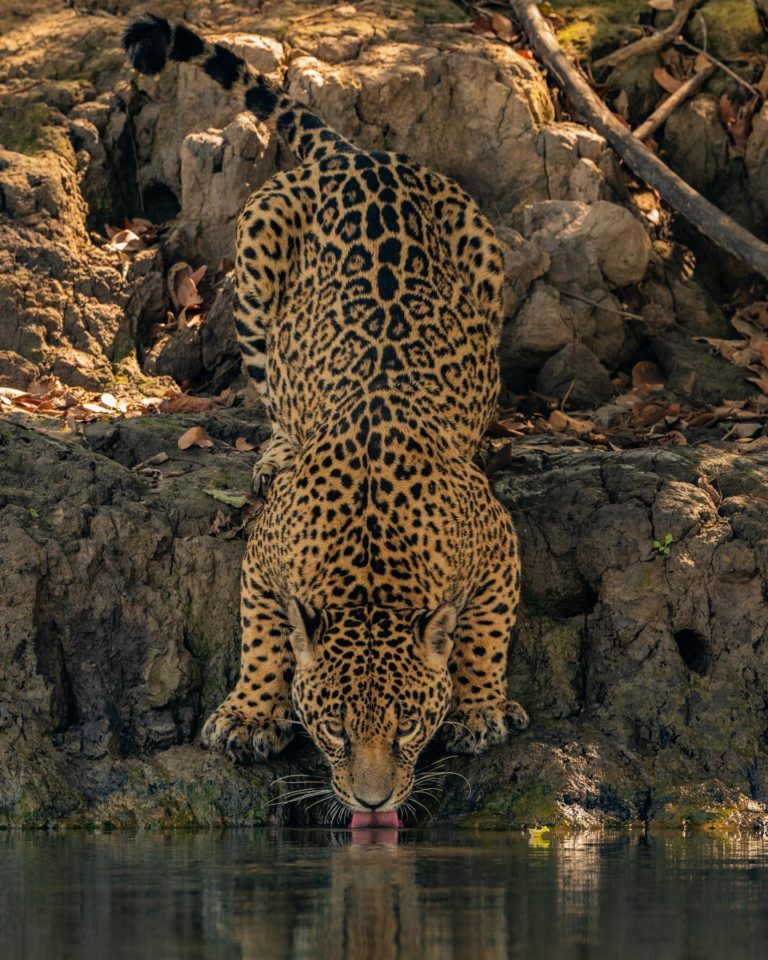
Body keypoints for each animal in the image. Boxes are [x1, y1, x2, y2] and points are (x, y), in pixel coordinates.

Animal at [124, 13, 528, 818]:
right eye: (335, 728)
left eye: (408, 726)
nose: (372, 805)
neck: (372, 566)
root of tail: (360, 154)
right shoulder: (265, 554)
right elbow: (265, 637)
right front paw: (250, 713)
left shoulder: (496, 541)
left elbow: (483, 633)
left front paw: (478, 708)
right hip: (256, 249)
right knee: (270, 386)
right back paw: (279, 448)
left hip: (484, 259)